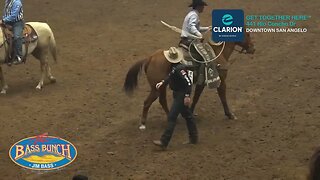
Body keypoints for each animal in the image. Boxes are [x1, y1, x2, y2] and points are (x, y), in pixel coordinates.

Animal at [123, 32, 255, 129]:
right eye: (248, 34)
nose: (253, 49)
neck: (217, 53)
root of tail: (150, 58)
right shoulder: (221, 80)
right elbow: (222, 96)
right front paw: (230, 115)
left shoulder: (201, 83)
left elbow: (196, 97)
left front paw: (190, 112)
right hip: (156, 88)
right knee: (148, 102)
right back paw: (143, 124)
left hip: (161, 87)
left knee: (162, 101)